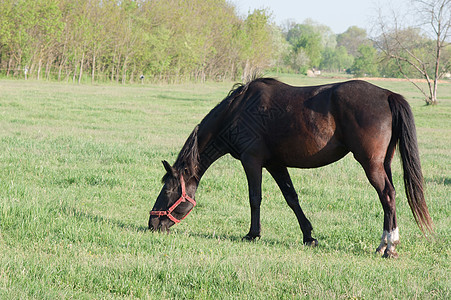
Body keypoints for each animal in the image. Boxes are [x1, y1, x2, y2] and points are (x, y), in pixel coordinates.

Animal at [149, 77, 434, 258]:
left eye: (168, 191)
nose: (152, 224)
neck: (238, 111)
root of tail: (387, 94)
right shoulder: (276, 164)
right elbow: (292, 198)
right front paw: (309, 237)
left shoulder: (252, 161)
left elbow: (255, 198)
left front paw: (252, 234)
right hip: (384, 163)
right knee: (390, 196)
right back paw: (385, 245)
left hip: (371, 165)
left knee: (387, 195)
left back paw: (389, 246)